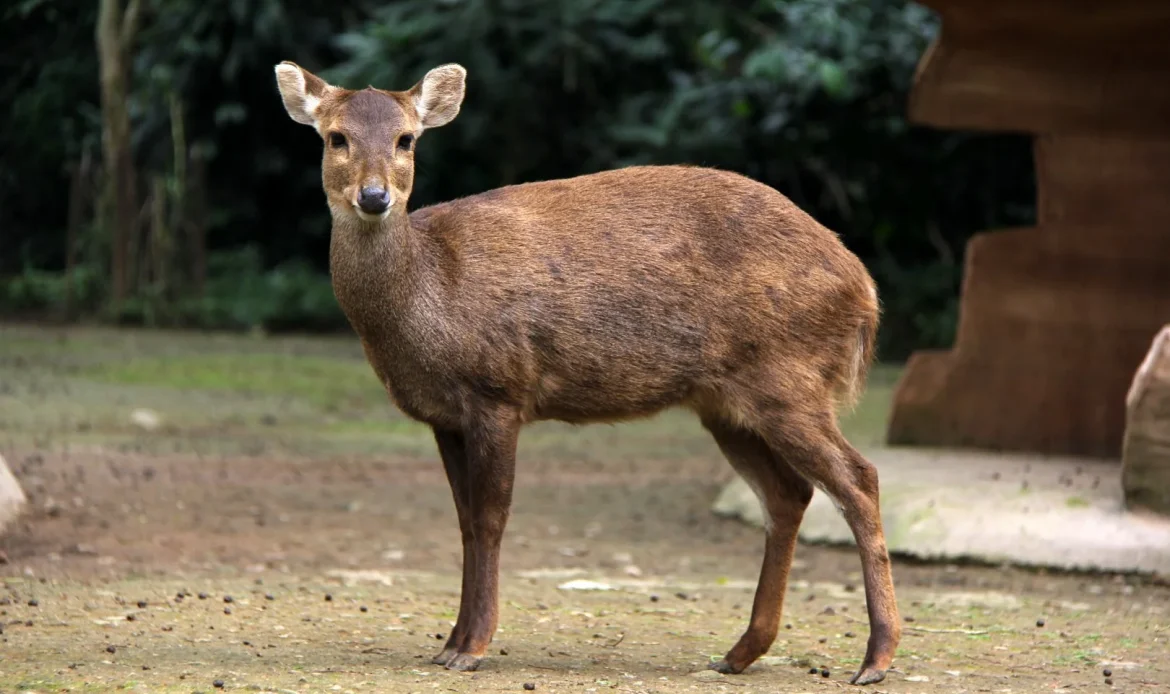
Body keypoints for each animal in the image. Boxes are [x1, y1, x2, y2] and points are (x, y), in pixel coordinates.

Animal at [274, 59, 901, 686]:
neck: (430, 297)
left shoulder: (499, 389)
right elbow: (465, 523)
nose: (375, 196)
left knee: (859, 479)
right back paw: (739, 652)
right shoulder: (444, 416)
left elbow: (492, 518)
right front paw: (449, 641)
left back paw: (875, 658)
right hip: (727, 403)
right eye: (336, 138)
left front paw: (472, 646)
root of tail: (865, 290)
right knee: (788, 494)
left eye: (406, 139)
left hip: (790, 378)